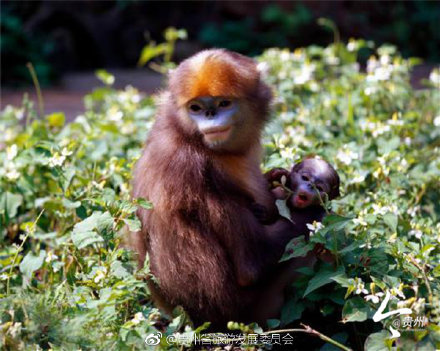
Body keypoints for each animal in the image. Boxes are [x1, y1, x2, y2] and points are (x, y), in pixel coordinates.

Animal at [131, 49, 300, 330]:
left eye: (223, 104)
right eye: (196, 108)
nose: (210, 115)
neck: (190, 137)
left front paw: (277, 177)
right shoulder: (186, 167)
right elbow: (250, 268)